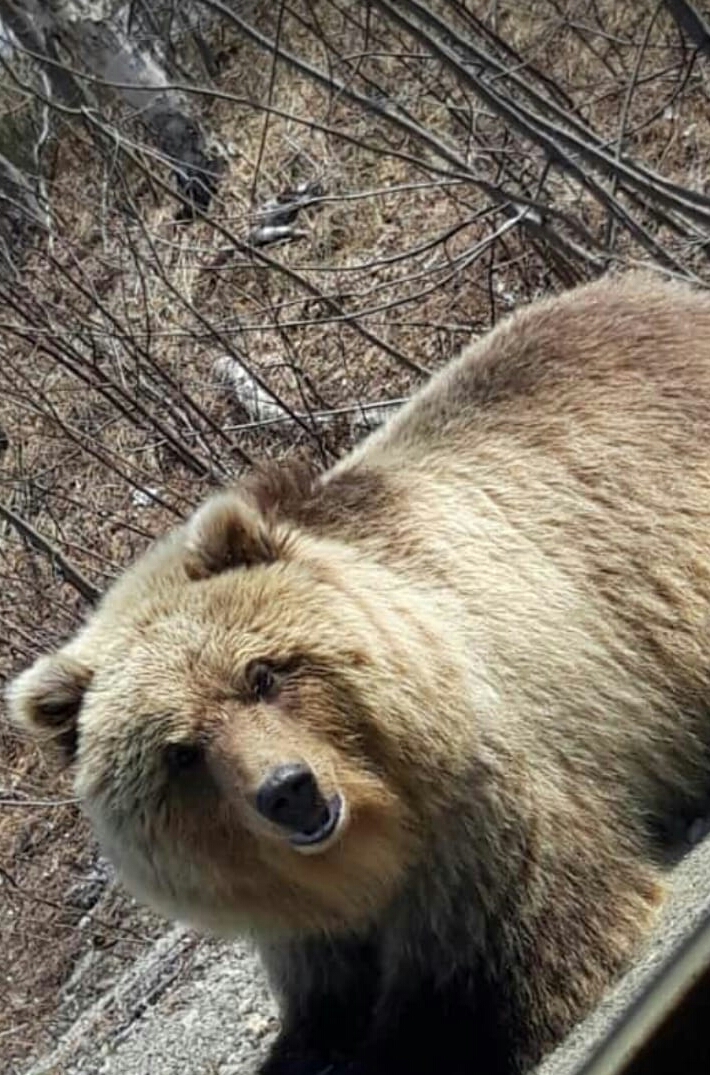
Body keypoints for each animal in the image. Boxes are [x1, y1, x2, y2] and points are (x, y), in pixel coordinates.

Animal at [5, 270, 710, 1075]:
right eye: (180, 752)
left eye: (262, 674)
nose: (288, 789)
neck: (372, 845)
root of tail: (649, 288)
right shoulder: (310, 935)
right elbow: (320, 1012)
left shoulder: (487, 819)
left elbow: (492, 972)